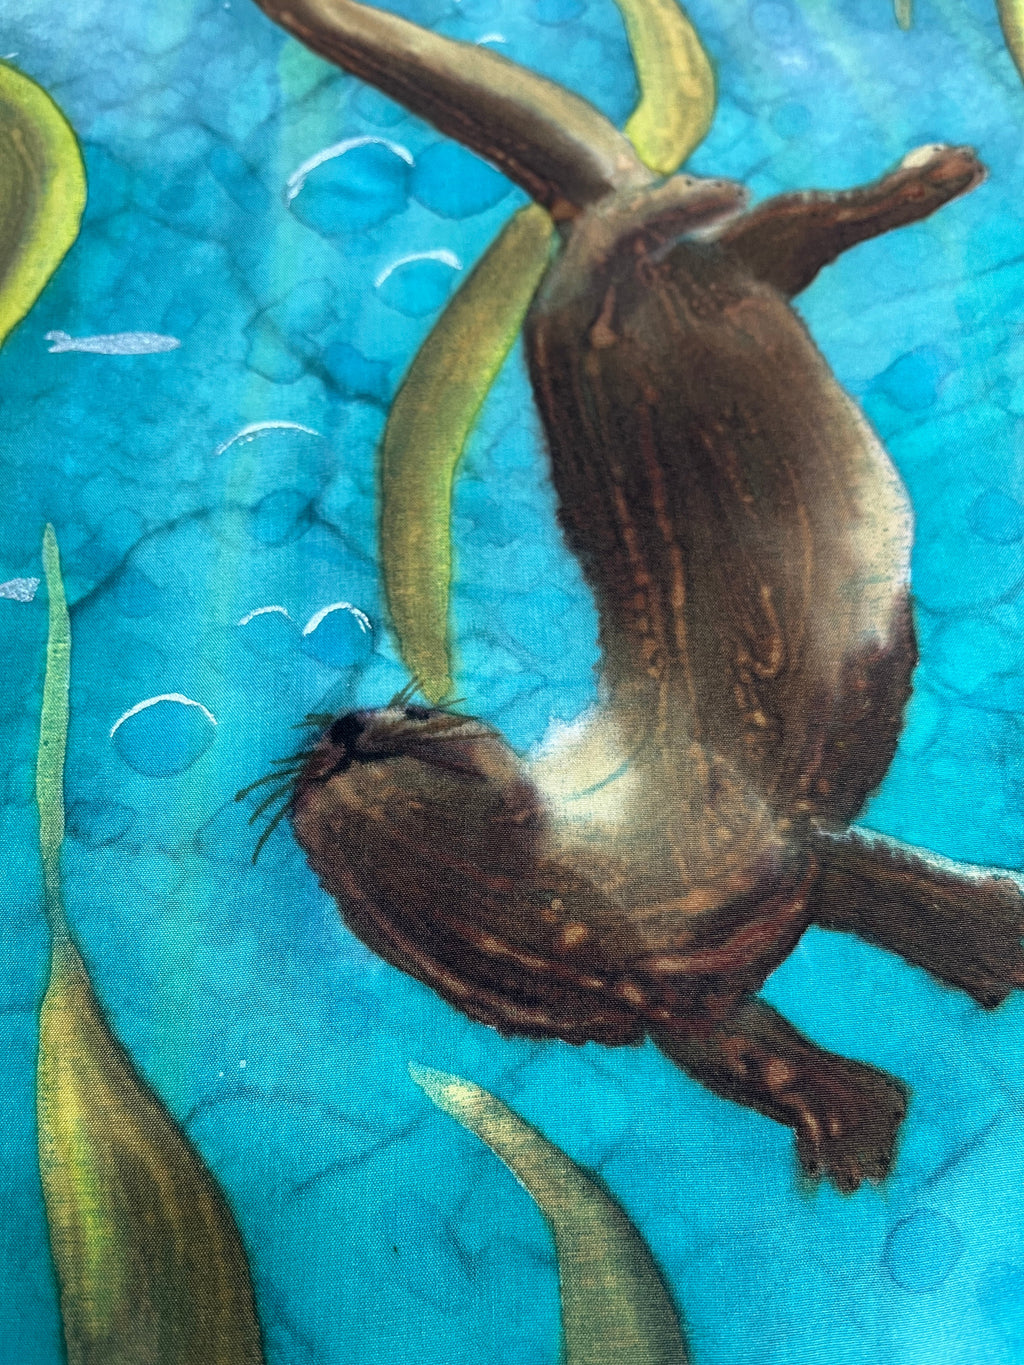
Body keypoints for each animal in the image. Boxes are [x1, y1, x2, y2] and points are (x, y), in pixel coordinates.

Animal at [248, 0, 1024, 1191]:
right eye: (327, 765)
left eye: (387, 724)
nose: (341, 725)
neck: (622, 903)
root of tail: (566, 250)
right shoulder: (687, 1000)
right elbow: (751, 1051)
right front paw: (846, 1119)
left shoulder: (775, 840)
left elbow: (881, 874)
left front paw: (997, 933)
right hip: (638, 304)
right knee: (744, 236)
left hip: (625, 299)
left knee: (723, 218)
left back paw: (896, 171)